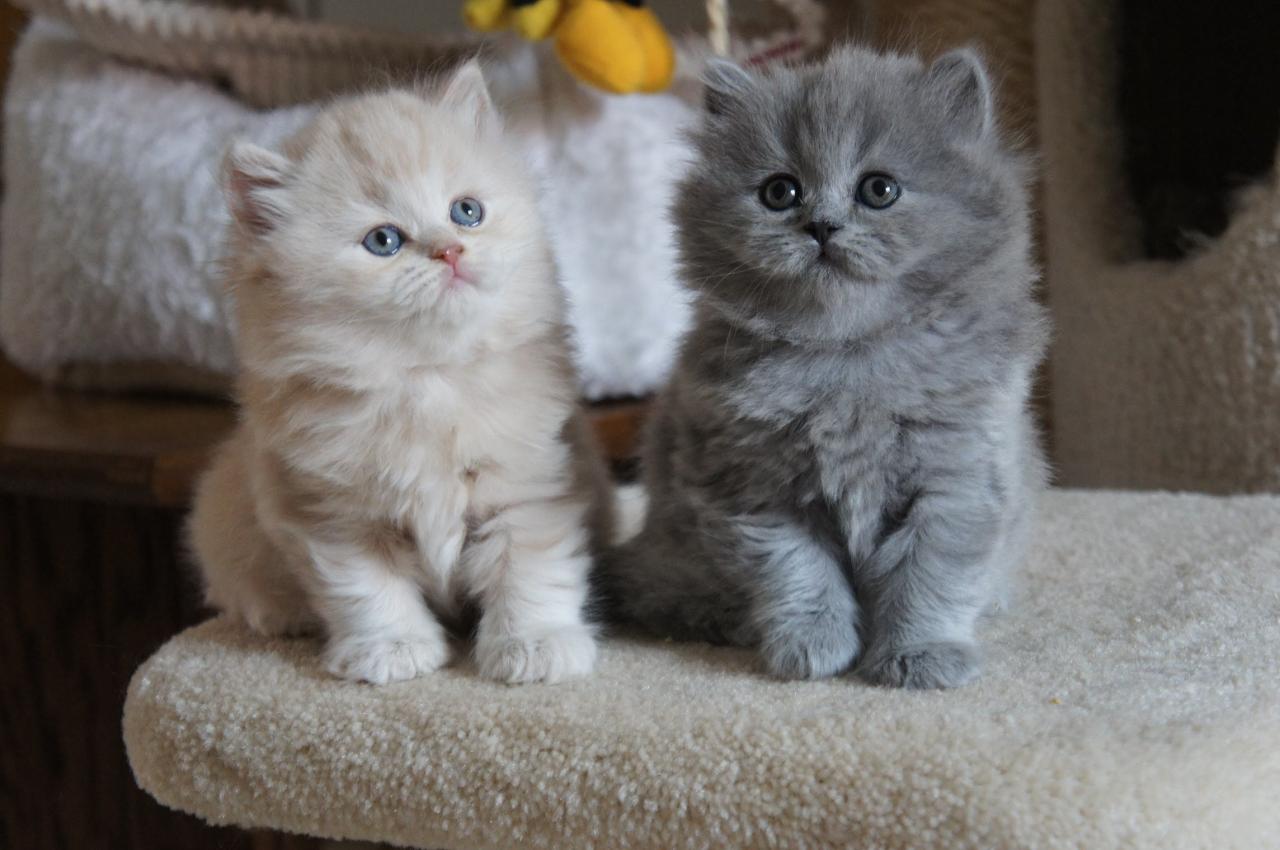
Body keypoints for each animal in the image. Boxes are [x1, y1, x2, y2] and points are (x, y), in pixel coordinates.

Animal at [186, 61, 611, 686]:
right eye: (383, 241)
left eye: (466, 211)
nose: (450, 251)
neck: (428, 379)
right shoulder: (332, 515)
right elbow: (367, 590)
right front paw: (392, 650)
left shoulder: (531, 486)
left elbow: (530, 571)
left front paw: (534, 646)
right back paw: (280, 615)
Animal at [599, 46, 1049, 686]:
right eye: (780, 192)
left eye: (879, 189)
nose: (821, 226)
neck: (847, 358)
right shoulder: (756, 488)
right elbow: (799, 572)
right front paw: (814, 648)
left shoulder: (956, 480)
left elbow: (929, 578)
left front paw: (920, 655)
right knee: (660, 592)